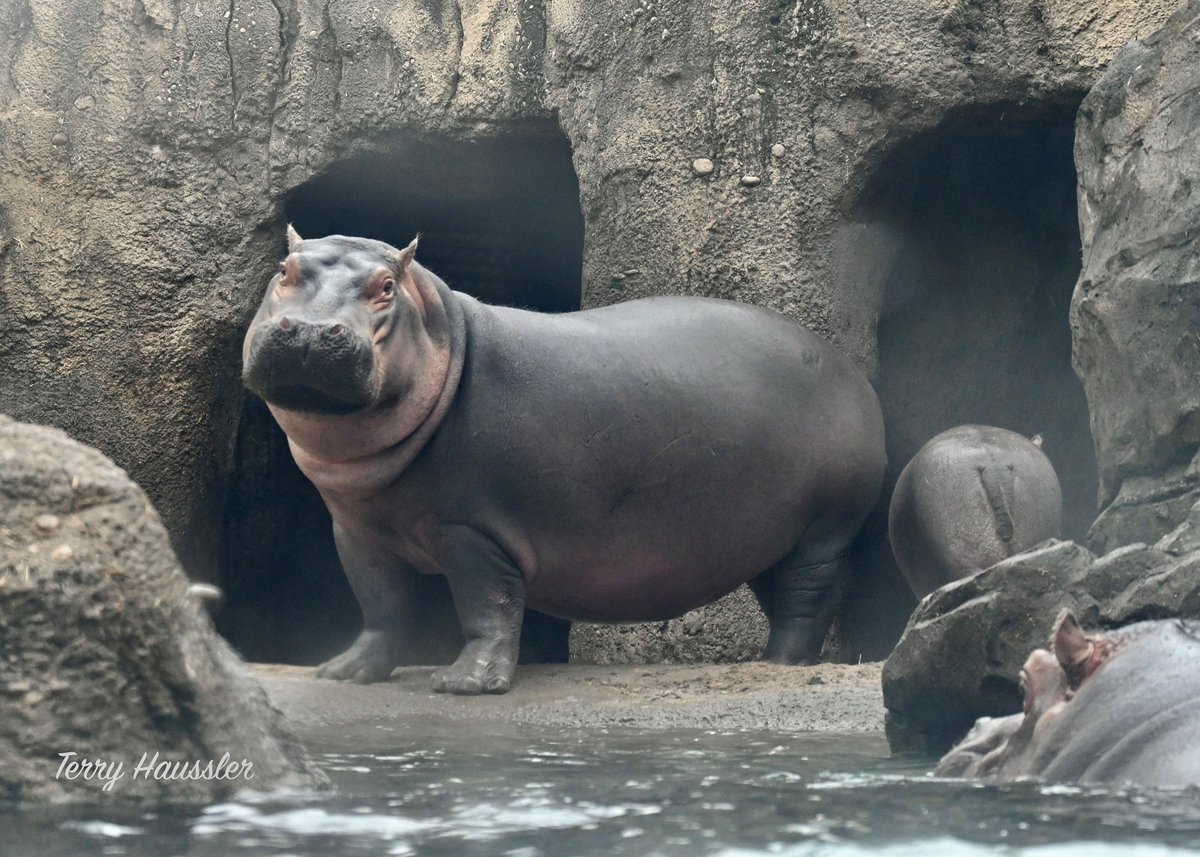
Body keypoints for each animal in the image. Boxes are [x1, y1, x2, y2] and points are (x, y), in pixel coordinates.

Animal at [242, 228, 886, 694]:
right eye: (284, 270)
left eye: (384, 287)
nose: (311, 332)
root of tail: (853, 372)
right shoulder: (355, 531)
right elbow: (379, 606)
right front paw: (345, 673)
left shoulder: (472, 532)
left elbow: (488, 606)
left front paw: (464, 684)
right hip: (770, 533)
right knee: (783, 591)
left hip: (824, 527)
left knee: (810, 595)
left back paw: (778, 665)